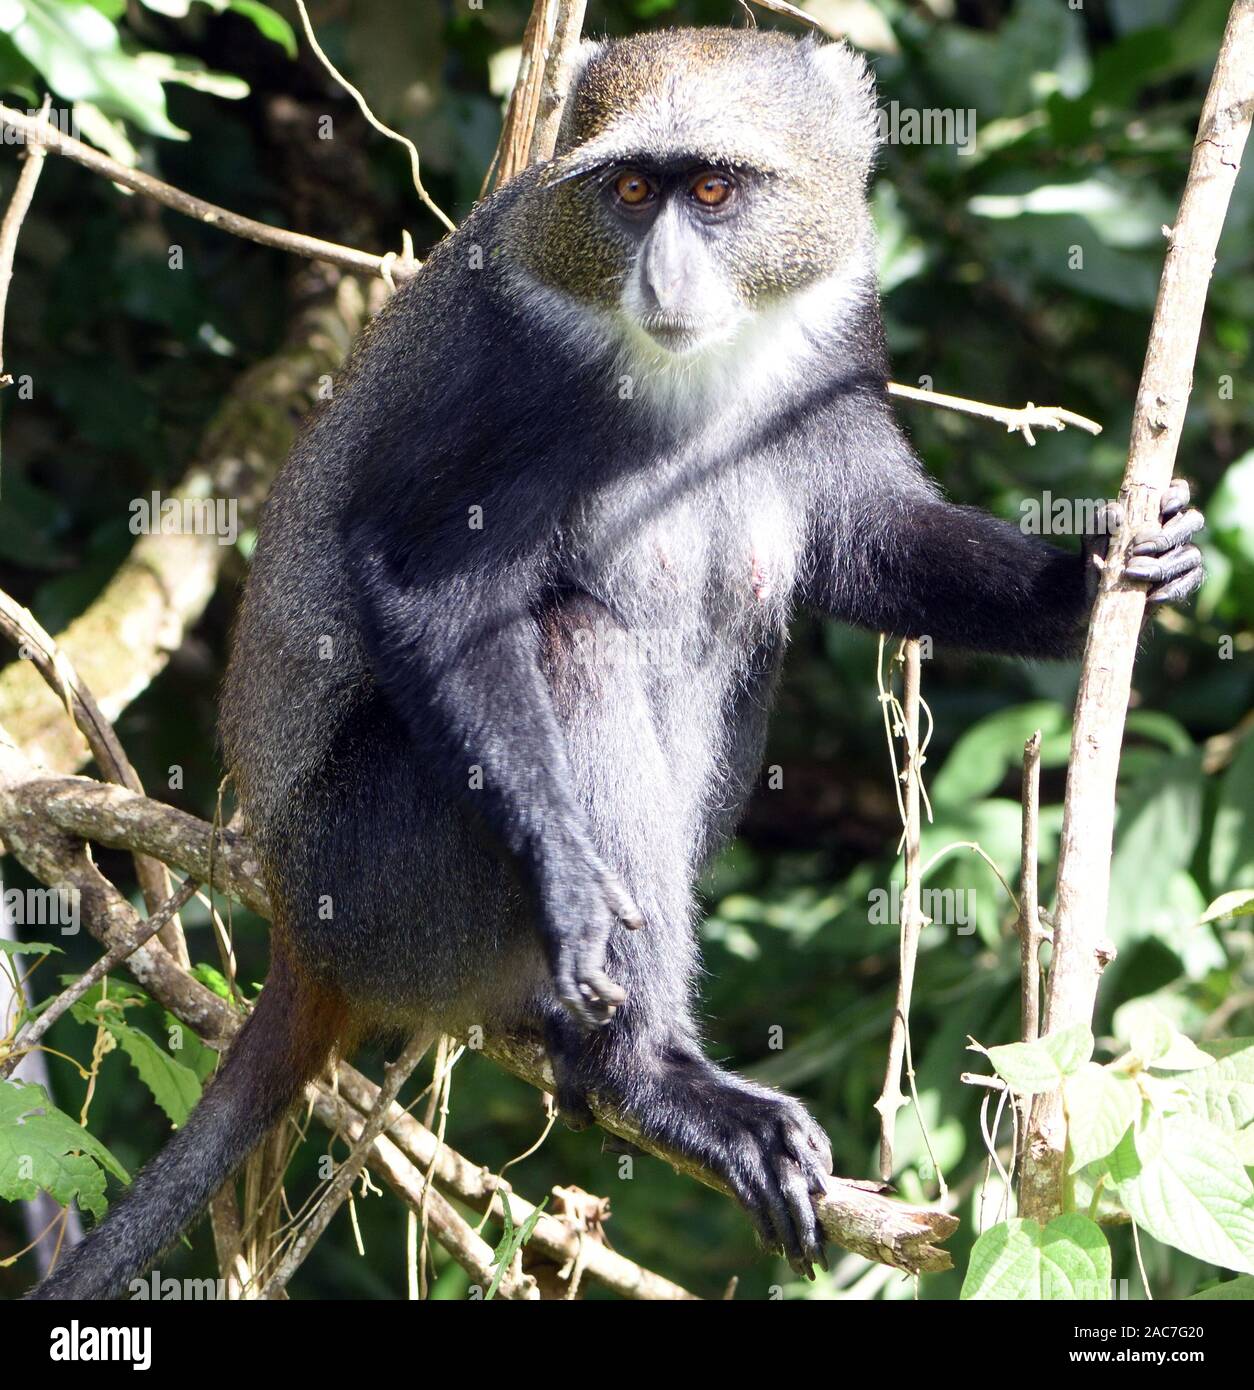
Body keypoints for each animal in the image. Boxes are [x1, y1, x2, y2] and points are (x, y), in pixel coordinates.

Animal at [30, 27, 1205, 1299]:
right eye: (633, 192)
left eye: (714, 191)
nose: (666, 276)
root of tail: (301, 930)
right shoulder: (511, 367)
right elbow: (430, 585)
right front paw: (581, 893)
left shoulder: (838, 330)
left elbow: (866, 533)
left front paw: (1089, 577)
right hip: (383, 883)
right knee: (571, 639)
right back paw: (646, 1073)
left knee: (750, 608)